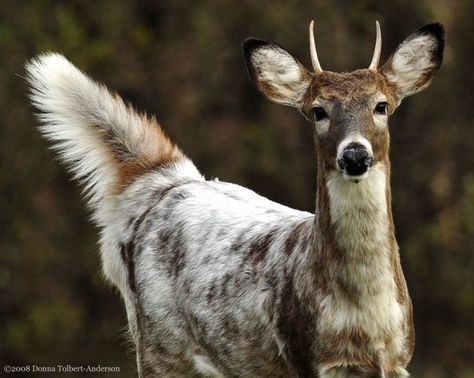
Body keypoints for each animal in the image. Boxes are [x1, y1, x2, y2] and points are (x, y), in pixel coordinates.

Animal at [25, 21, 444, 378]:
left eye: (381, 105)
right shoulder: (302, 354)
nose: (354, 154)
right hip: (157, 343)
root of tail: (164, 181)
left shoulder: (398, 359)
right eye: (318, 111)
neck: (361, 316)